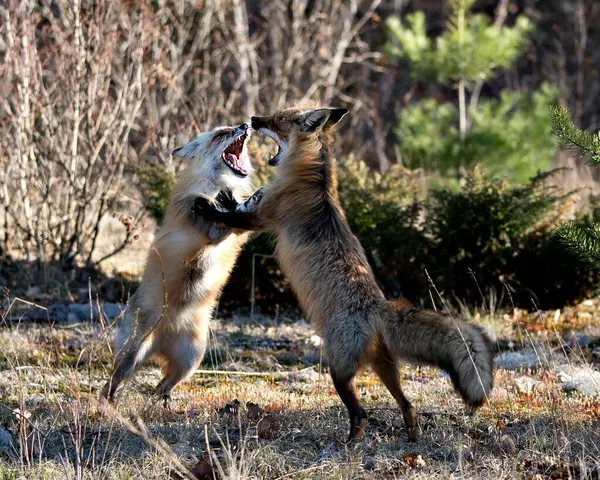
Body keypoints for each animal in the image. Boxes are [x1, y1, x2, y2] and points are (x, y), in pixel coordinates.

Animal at [101, 123, 255, 404]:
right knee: (112, 384)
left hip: (191, 359)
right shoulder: (197, 224)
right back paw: (109, 404)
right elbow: (207, 214)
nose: (245, 125)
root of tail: (162, 337)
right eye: (221, 134)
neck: (217, 187)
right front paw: (212, 205)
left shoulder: (238, 230)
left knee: (162, 385)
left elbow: (235, 220)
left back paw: (163, 403)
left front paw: (230, 204)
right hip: (130, 354)